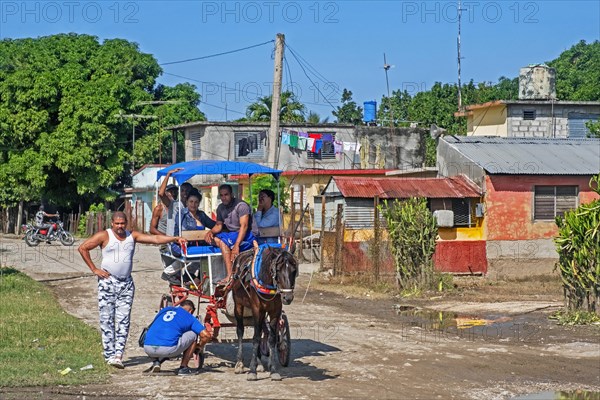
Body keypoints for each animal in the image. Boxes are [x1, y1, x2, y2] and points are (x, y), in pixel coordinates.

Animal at [231, 244, 298, 382]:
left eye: (294, 270)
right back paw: (240, 363)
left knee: (262, 330)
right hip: (239, 305)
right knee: (240, 331)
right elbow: (255, 338)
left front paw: (273, 370)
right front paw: (252, 371)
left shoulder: (275, 310)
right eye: (278, 270)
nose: (288, 298)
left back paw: (259, 363)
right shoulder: (257, 308)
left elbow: (271, 338)